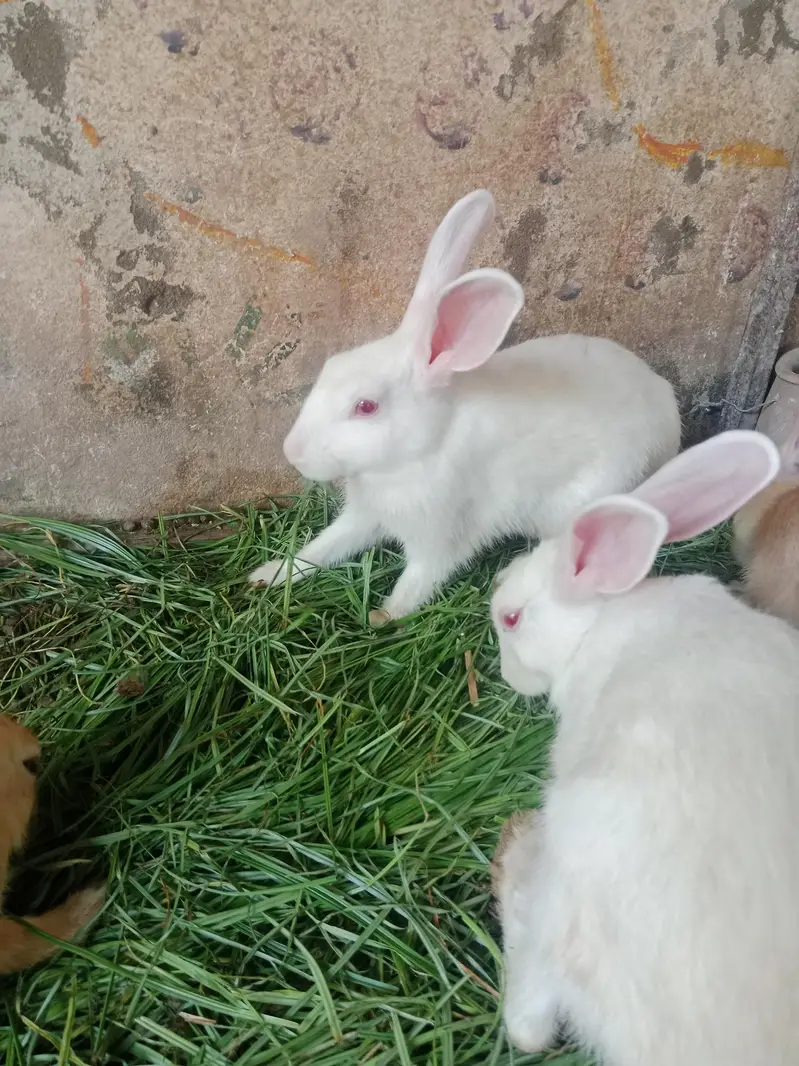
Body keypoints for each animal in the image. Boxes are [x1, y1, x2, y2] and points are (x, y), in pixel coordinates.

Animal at [249, 189, 681, 625]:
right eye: (330, 366)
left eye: (366, 406)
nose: (292, 452)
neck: (421, 450)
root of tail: (668, 414)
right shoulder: (364, 516)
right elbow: (323, 548)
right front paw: (268, 574)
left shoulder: (441, 535)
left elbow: (420, 577)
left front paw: (381, 617)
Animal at [488, 428, 799, 1065]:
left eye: (510, 619)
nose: (508, 677)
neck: (601, 621)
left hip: (571, 871)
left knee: (528, 1021)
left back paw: (515, 848)